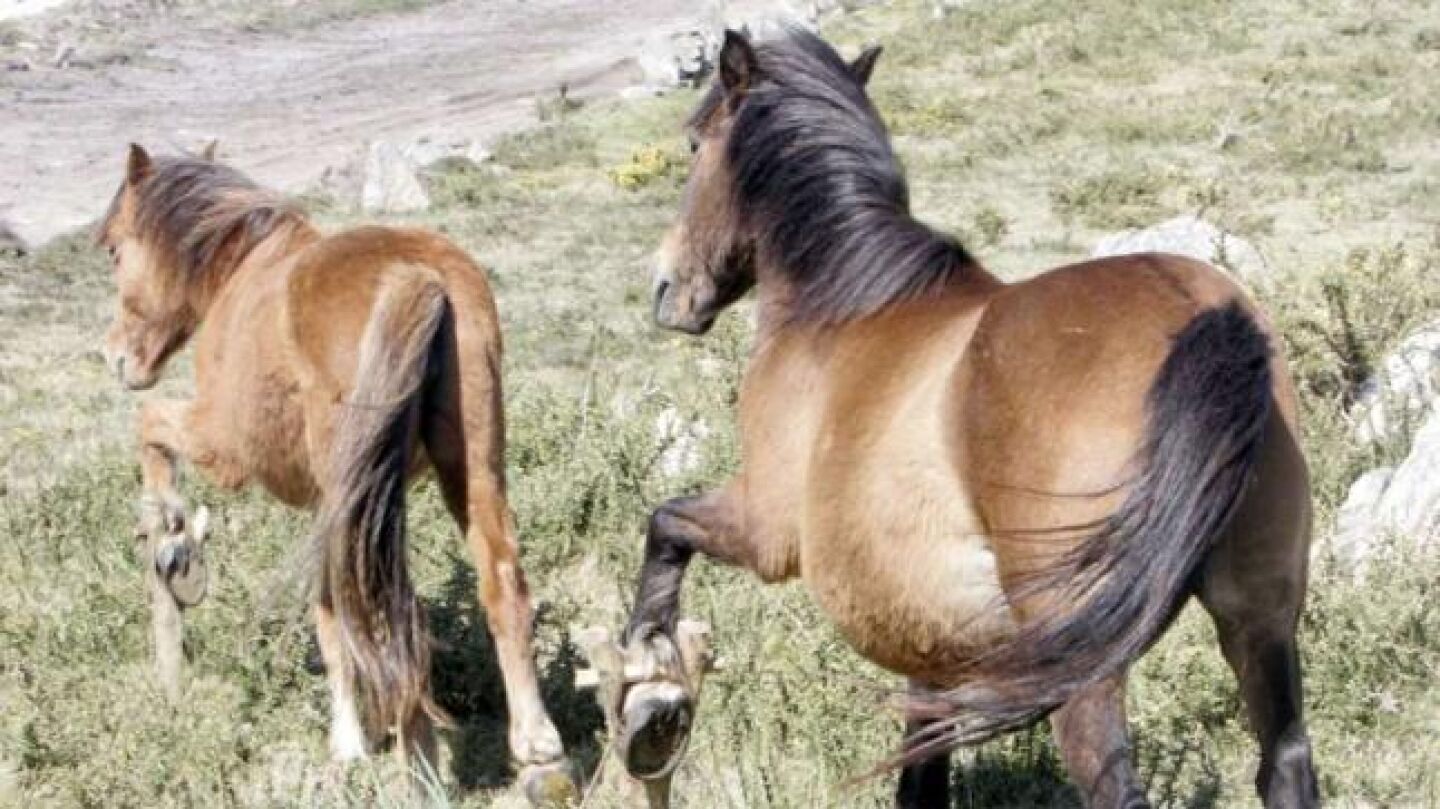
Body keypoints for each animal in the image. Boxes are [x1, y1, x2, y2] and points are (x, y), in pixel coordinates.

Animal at [96, 145, 577, 803]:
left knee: (391, 609)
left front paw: (169, 530)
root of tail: (418, 279)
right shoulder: (331, 506)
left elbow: (150, 425)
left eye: (117, 249)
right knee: (500, 584)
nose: (115, 356)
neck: (240, 274)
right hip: (471, 471)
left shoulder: (225, 447)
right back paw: (537, 751)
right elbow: (330, 610)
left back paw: (420, 769)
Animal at [615, 29, 1320, 809]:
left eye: (693, 143)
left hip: (1087, 669)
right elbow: (920, 774)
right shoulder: (930, 644)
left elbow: (665, 524)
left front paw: (650, 681)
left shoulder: (764, 528)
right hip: (1259, 621)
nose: (667, 289)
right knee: (1285, 763)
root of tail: (1202, 316)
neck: (840, 306)